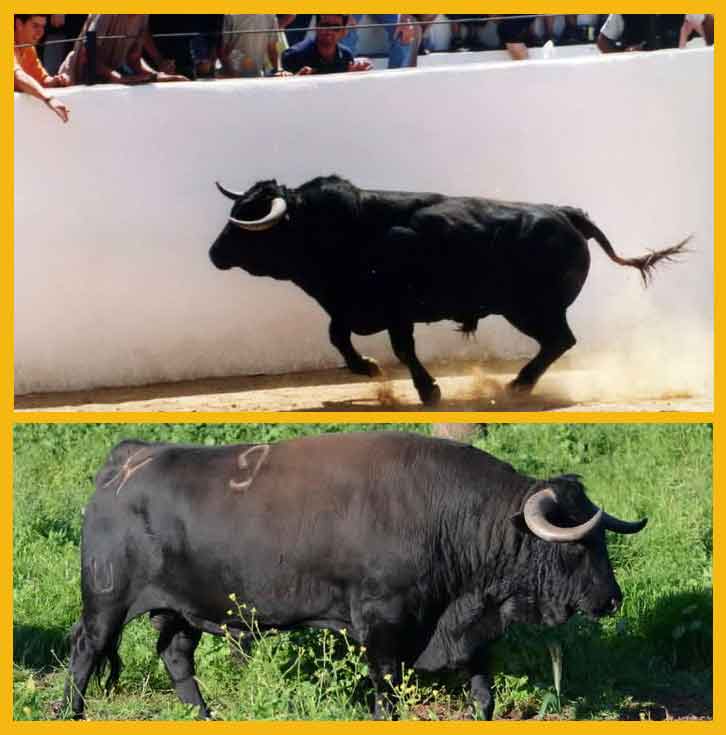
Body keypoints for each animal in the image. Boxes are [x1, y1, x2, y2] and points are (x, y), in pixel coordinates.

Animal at [64, 432, 648, 720]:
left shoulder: (464, 631)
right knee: (84, 655)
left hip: (182, 612)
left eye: (602, 539)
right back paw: (72, 713)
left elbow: (483, 693)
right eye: (578, 545)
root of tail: (125, 461)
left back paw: (205, 717)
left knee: (175, 658)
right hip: (106, 603)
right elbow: (386, 700)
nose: (612, 600)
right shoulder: (383, 632)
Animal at [209, 177, 688, 408]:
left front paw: (429, 391)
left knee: (559, 341)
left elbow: (402, 349)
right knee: (559, 342)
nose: (214, 254)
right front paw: (368, 369)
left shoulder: (396, 311)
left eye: (246, 220)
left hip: (532, 309)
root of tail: (565, 214)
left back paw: (517, 386)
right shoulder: (351, 307)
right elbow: (337, 336)